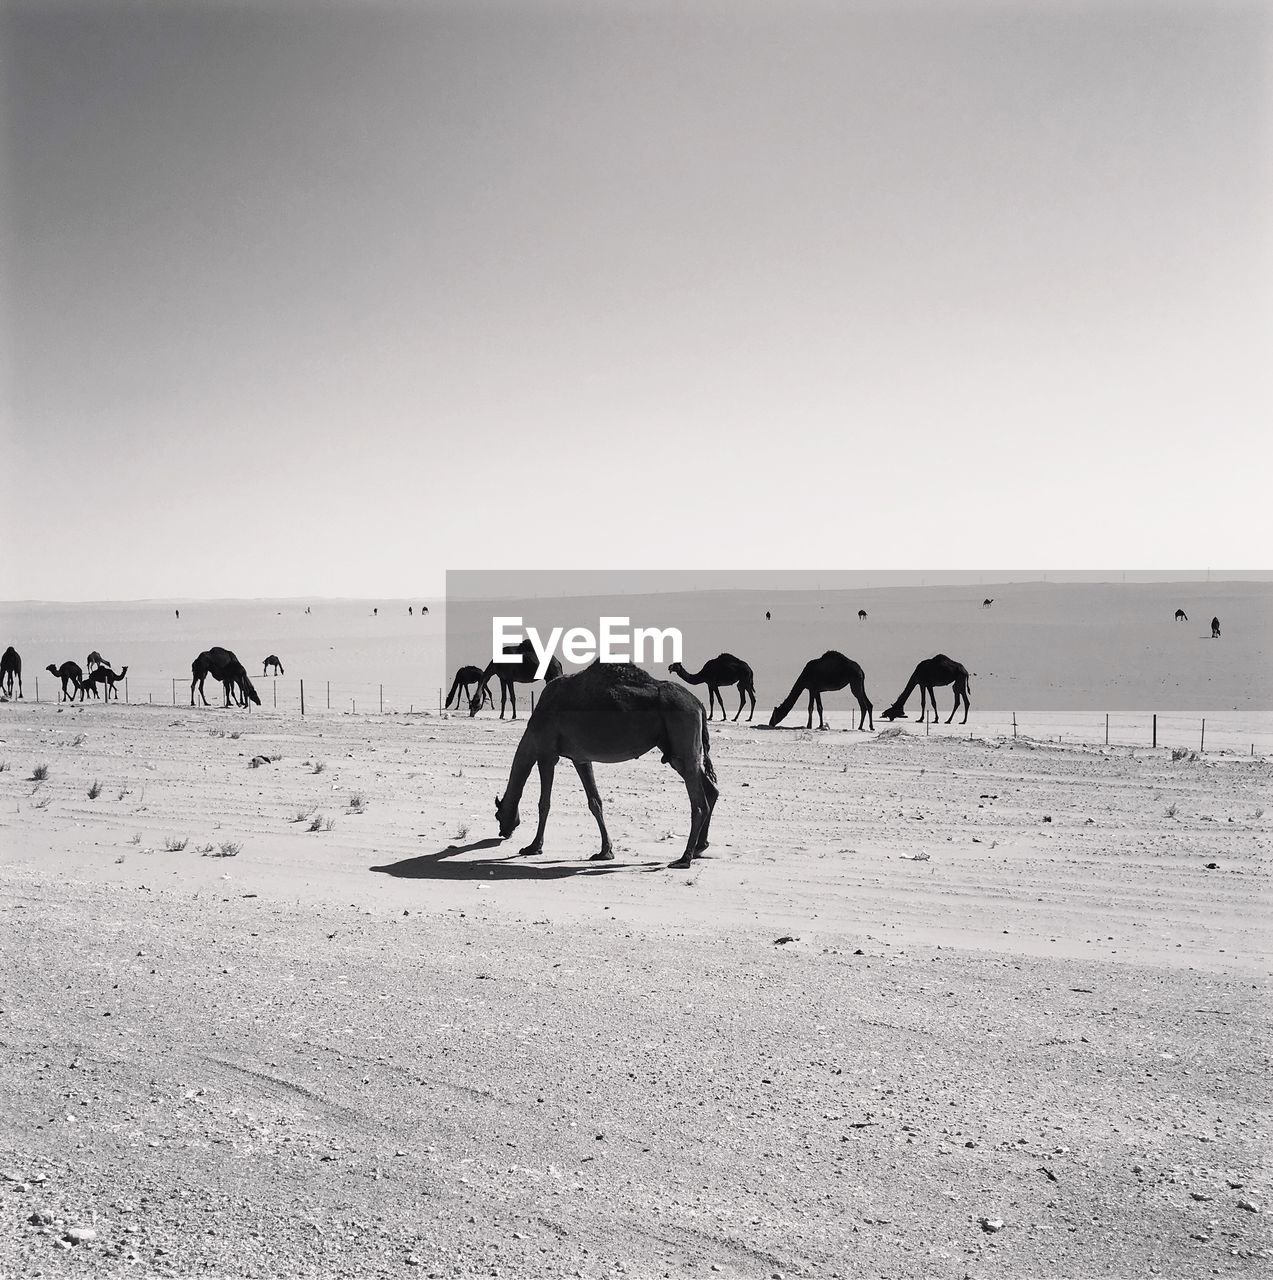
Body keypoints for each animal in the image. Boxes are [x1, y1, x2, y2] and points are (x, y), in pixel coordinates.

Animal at [491, 660, 716, 870]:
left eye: (498, 814)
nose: (503, 832)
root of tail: (698, 703)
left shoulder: (546, 754)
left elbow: (544, 803)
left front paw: (533, 847)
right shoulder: (580, 758)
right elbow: (594, 801)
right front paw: (605, 852)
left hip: (681, 737)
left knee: (698, 803)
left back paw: (684, 858)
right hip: (677, 751)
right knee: (710, 788)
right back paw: (700, 847)